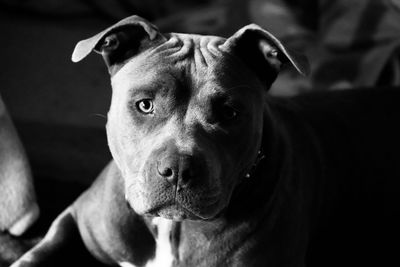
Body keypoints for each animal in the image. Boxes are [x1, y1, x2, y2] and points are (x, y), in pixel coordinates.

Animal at [10, 15, 400, 267]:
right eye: (145, 104)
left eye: (229, 113)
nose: (178, 170)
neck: (172, 227)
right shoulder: (75, 222)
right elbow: (35, 254)